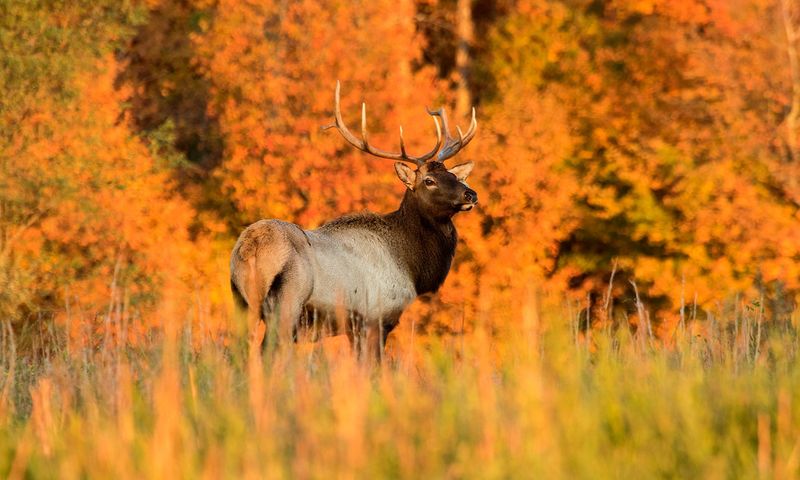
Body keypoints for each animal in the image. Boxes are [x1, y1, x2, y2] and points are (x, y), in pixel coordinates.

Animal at [230, 81, 478, 363]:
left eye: (454, 176)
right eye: (429, 181)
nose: (470, 194)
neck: (412, 267)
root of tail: (251, 248)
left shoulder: (355, 327)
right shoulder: (376, 317)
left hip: (241, 302)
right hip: (288, 301)